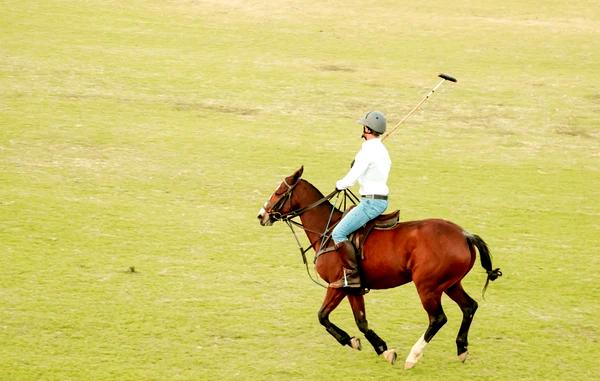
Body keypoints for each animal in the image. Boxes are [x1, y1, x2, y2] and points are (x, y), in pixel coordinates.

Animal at [255, 166, 500, 368]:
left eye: (279, 192)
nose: (261, 215)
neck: (327, 230)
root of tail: (465, 235)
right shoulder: (352, 289)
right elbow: (361, 321)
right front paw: (382, 349)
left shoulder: (338, 285)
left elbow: (322, 316)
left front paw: (352, 341)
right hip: (450, 284)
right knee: (469, 306)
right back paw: (461, 349)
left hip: (428, 286)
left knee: (438, 318)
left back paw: (413, 357)